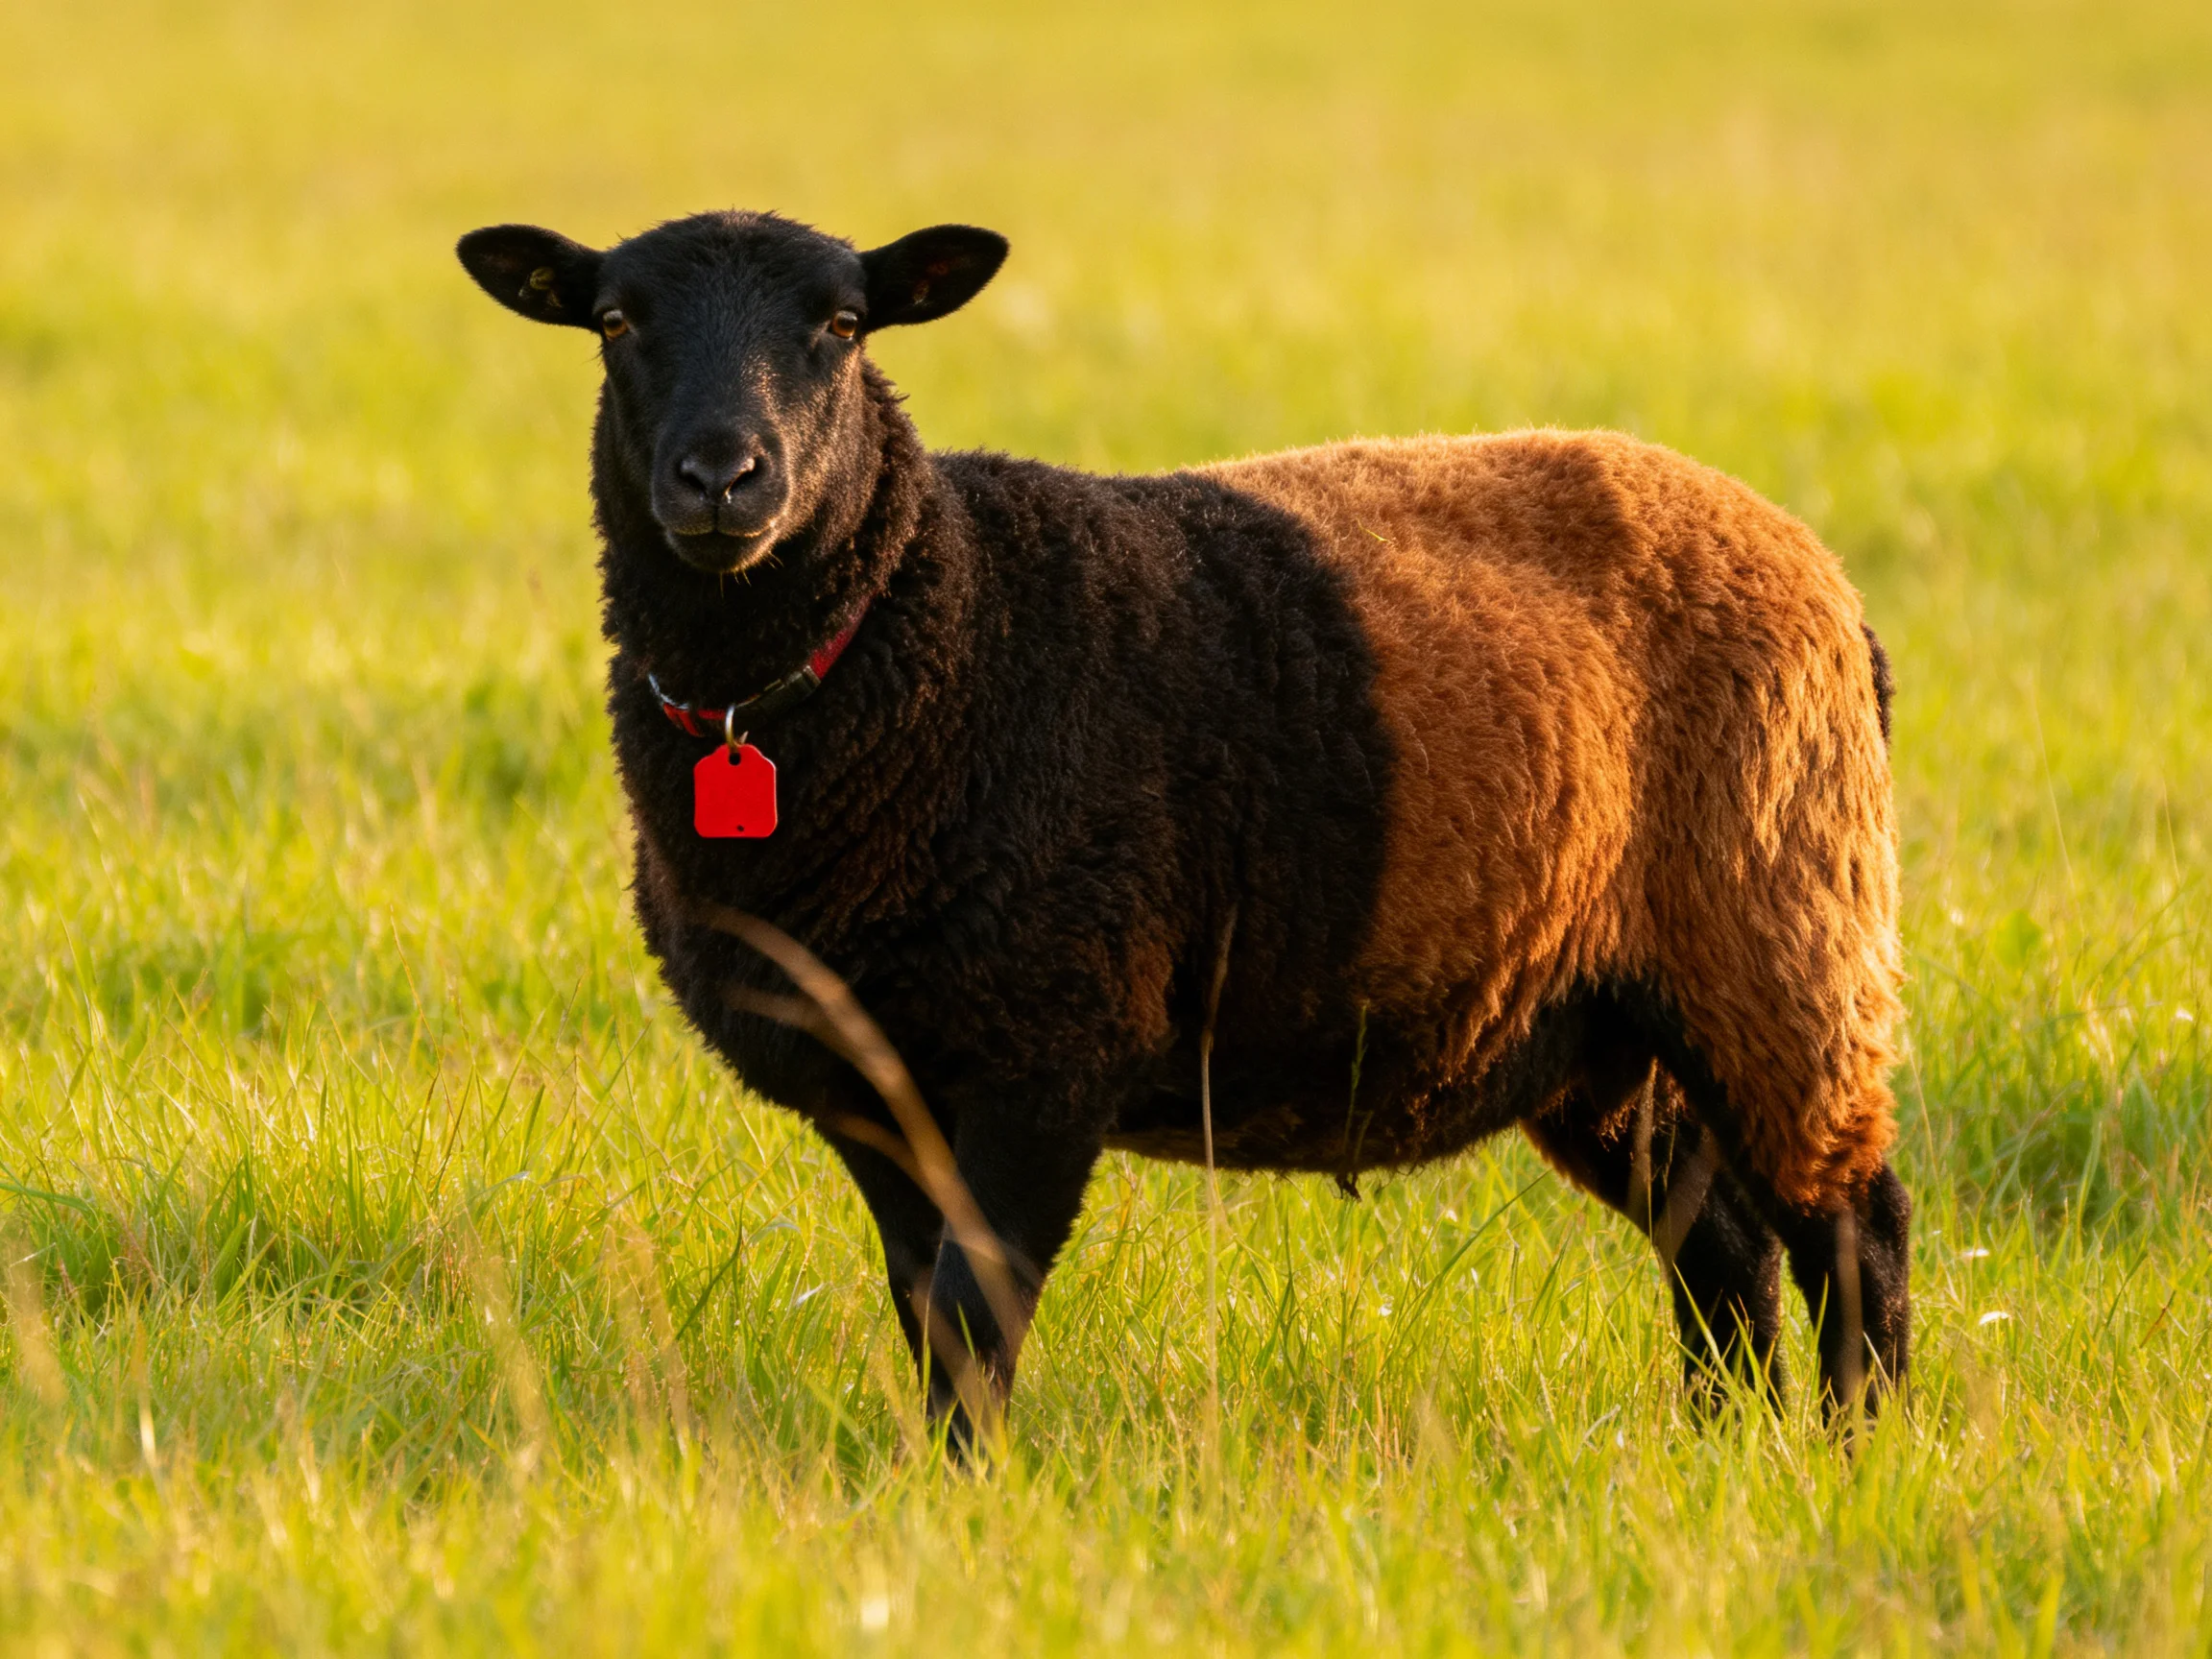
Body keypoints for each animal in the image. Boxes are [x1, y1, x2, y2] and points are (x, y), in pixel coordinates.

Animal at [457, 209, 1910, 1441]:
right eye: (615, 321)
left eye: (844, 324)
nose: (722, 477)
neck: (935, 622)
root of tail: (1824, 578)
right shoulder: (872, 1089)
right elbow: (923, 1306)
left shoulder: (1045, 1053)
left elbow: (975, 1314)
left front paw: (962, 1501)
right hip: (1599, 1021)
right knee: (1719, 1239)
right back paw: (1724, 1445)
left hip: (1783, 936)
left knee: (1853, 1225)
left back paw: (1863, 1451)